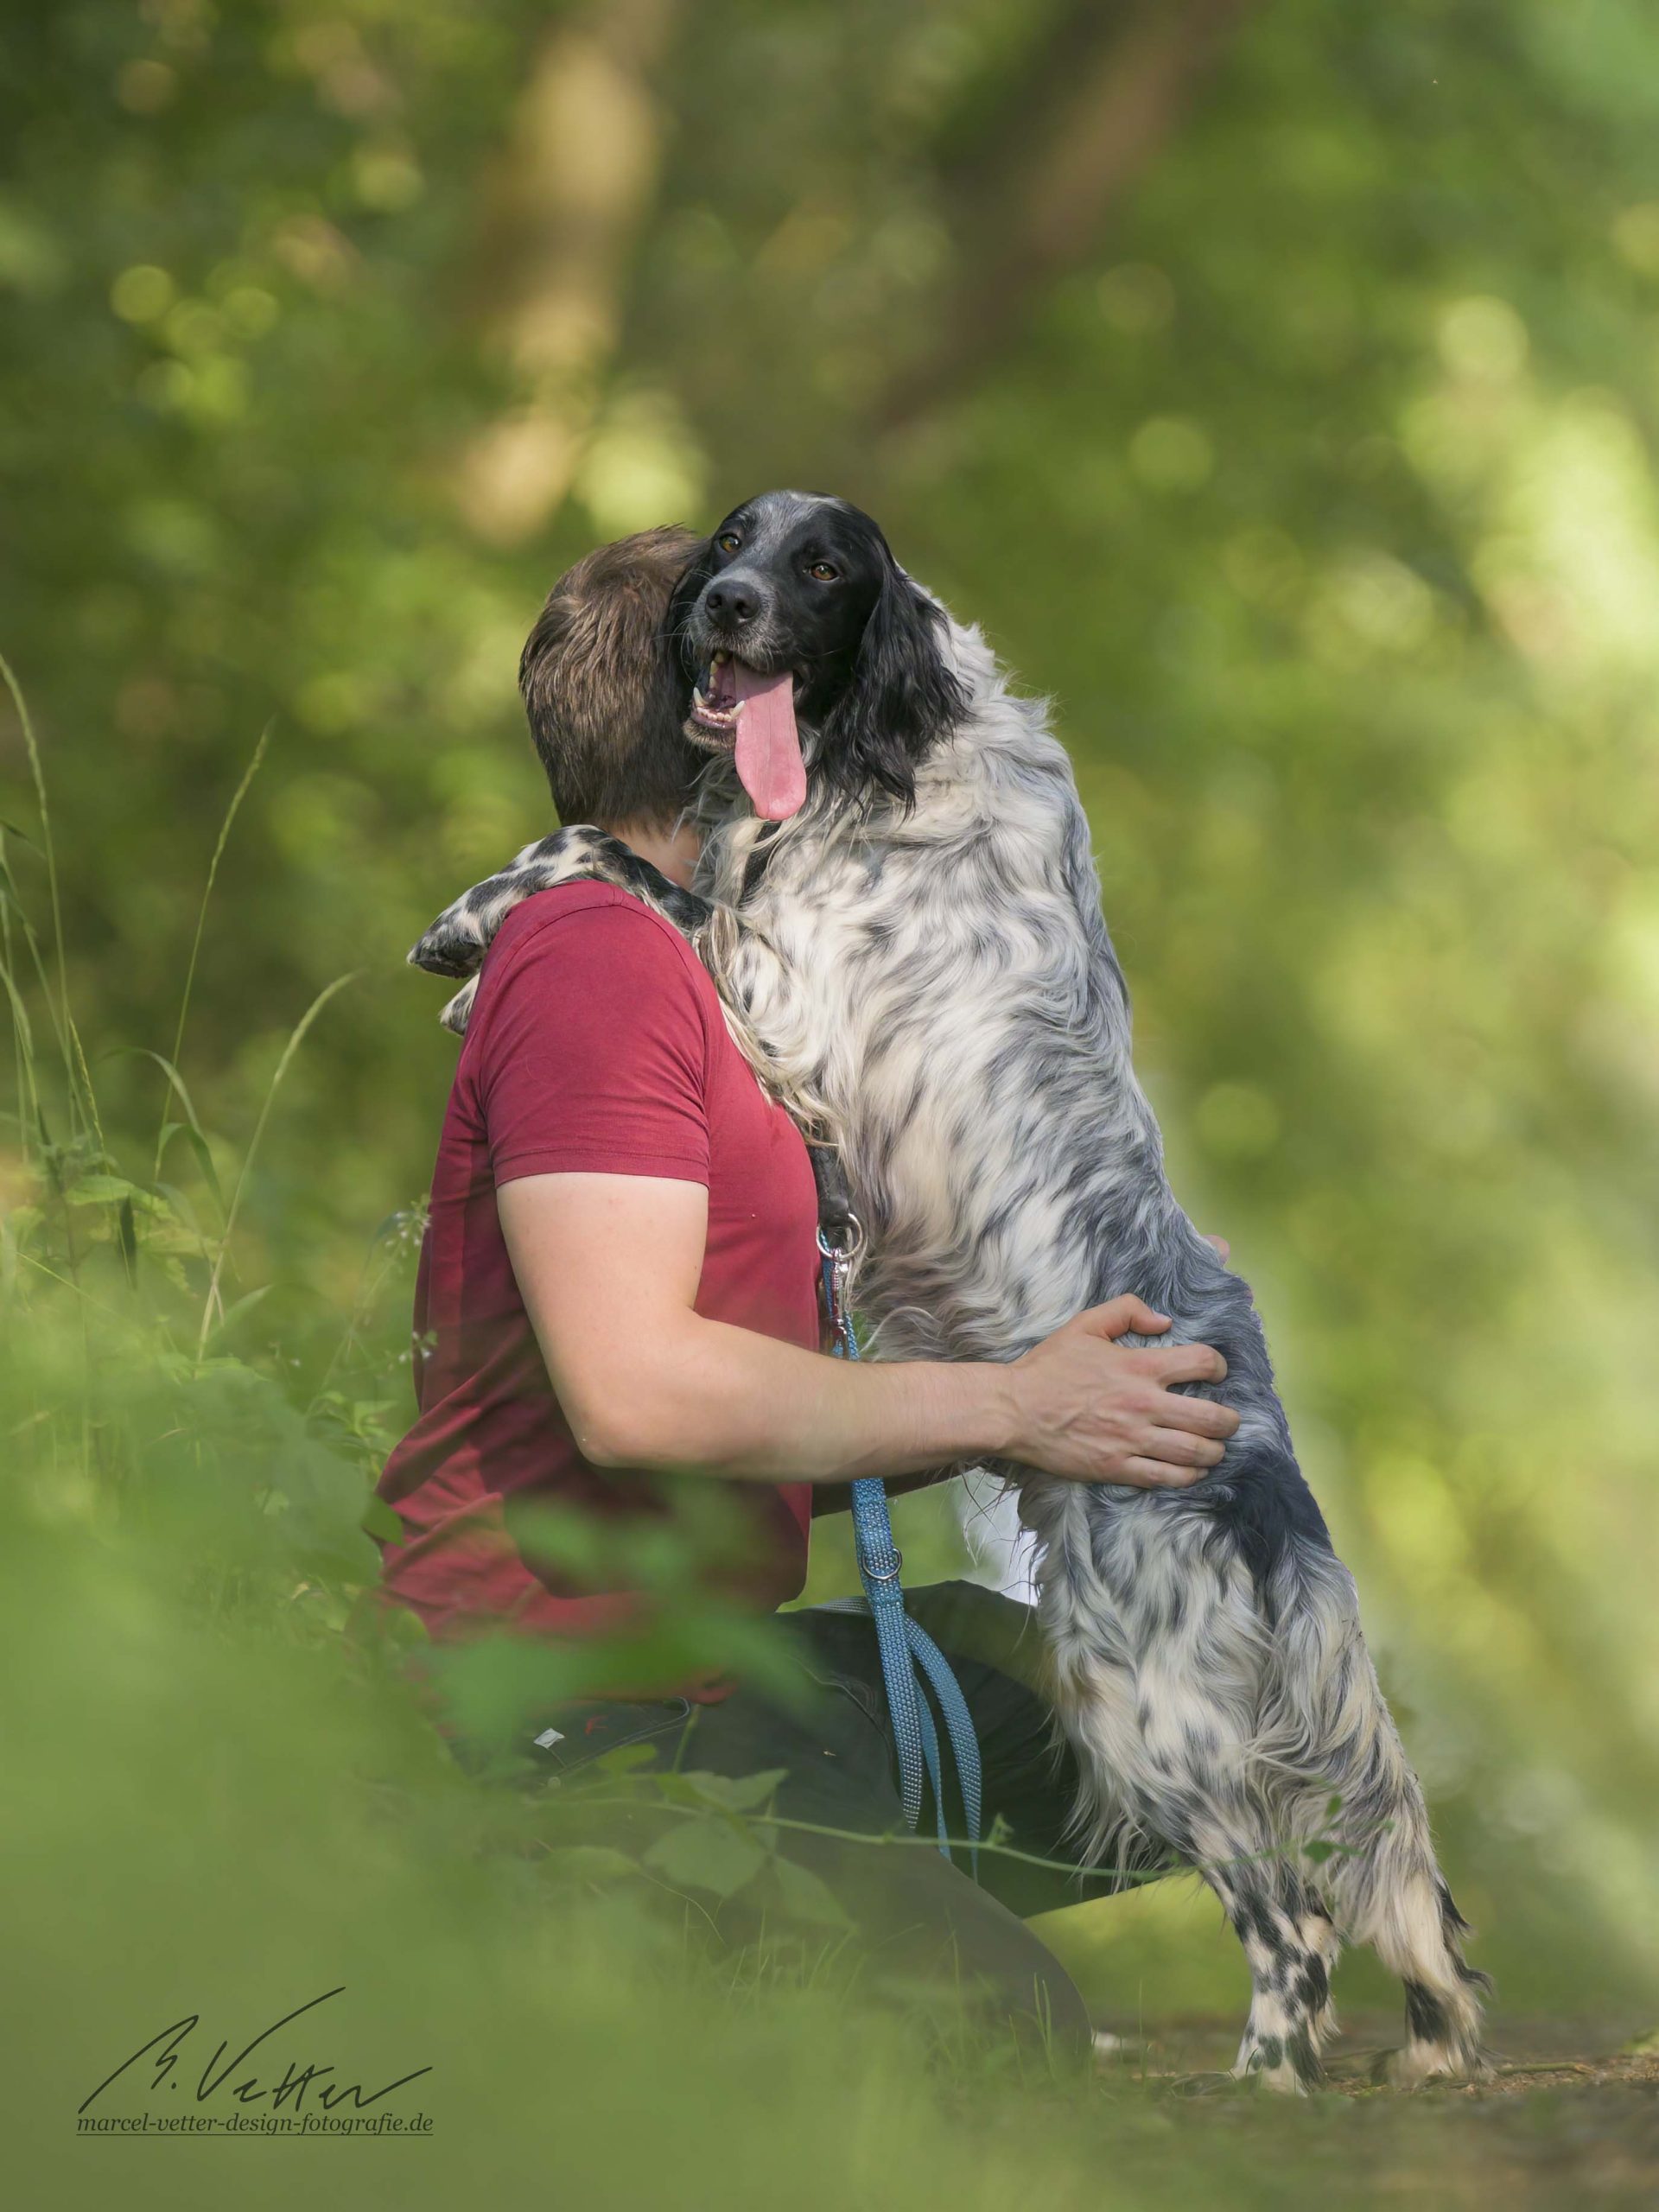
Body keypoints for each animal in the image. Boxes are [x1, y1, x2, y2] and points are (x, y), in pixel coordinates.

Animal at [416, 488, 1495, 2088]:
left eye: (820, 567)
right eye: (727, 541)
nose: (726, 607)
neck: (880, 763)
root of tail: (1268, 1485)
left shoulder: (788, 997)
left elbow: (626, 859)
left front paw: (479, 912)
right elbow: (646, 857)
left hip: (1145, 1698)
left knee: (1292, 1916)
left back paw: (1260, 2086)